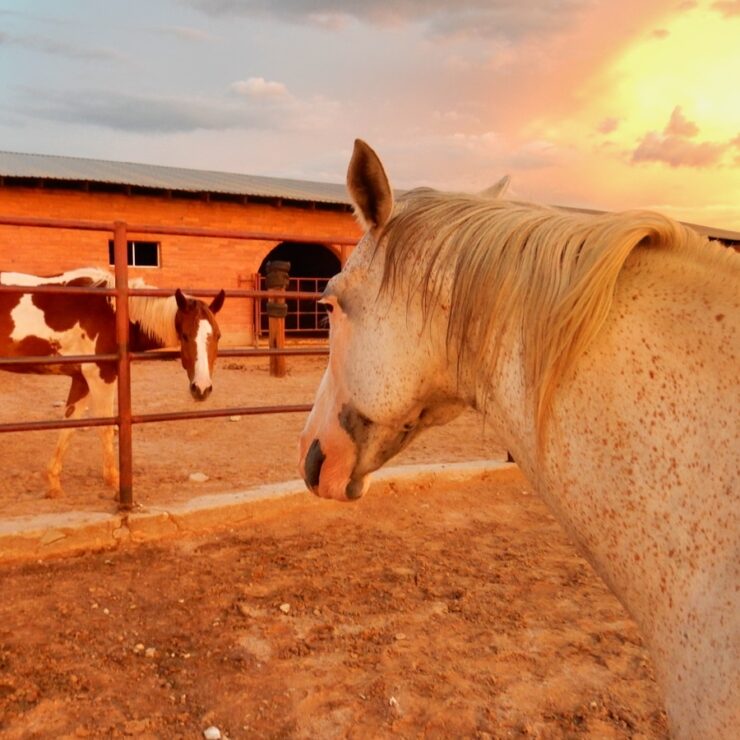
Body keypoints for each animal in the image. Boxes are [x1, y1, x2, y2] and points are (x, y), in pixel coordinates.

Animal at [1, 268, 225, 498]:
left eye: (218, 336)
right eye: (185, 335)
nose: (201, 388)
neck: (116, 315)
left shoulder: (81, 380)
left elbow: (69, 425)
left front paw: (54, 483)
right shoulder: (101, 376)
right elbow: (106, 427)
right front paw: (115, 481)